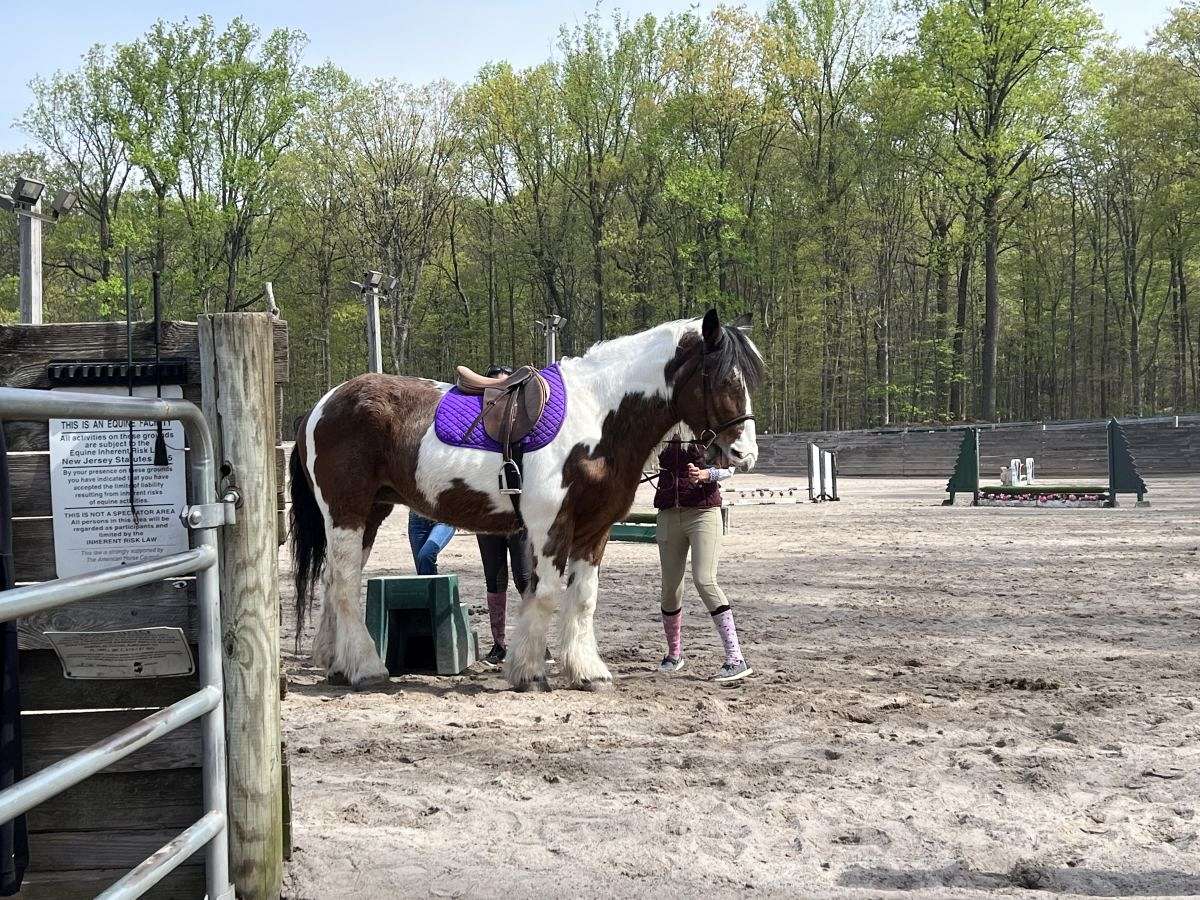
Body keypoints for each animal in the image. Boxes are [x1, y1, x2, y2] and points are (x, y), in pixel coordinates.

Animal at [285, 307, 763, 696]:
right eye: (726, 379)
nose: (744, 454)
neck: (598, 413)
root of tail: (321, 406)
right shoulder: (552, 525)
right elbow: (547, 593)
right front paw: (530, 672)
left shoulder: (595, 529)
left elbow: (583, 598)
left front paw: (588, 672)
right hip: (347, 511)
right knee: (345, 583)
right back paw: (366, 669)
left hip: (370, 513)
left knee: (333, 580)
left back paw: (336, 665)